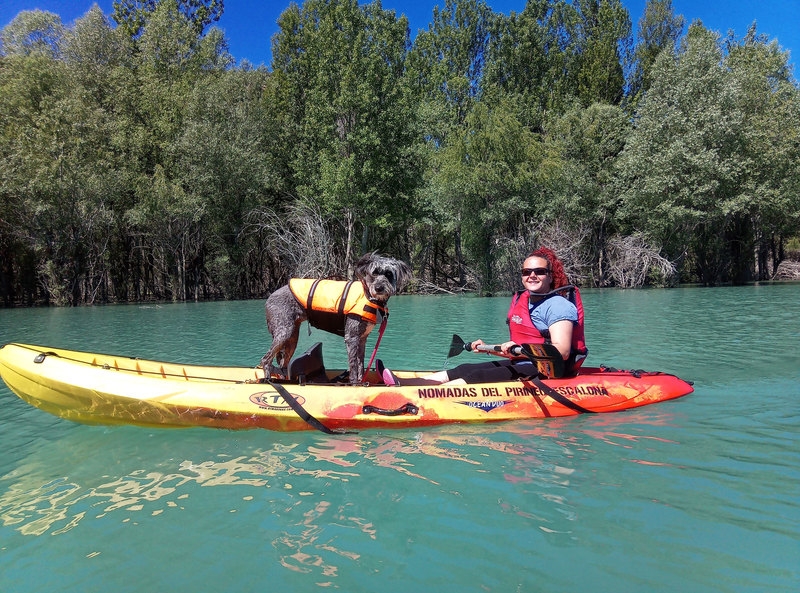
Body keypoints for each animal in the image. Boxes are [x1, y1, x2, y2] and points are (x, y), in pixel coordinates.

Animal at [262, 251, 412, 382]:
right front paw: (355, 384)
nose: (379, 288)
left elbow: (361, 365)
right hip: (284, 332)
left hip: (292, 338)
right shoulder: (351, 338)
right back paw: (268, 380)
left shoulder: (362, 339)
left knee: (283, 364)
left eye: (388, 274)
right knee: (266, 359)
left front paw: (362, 382)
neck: (369, 296)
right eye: (374, 273)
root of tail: (269, 299)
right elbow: (353, 366)